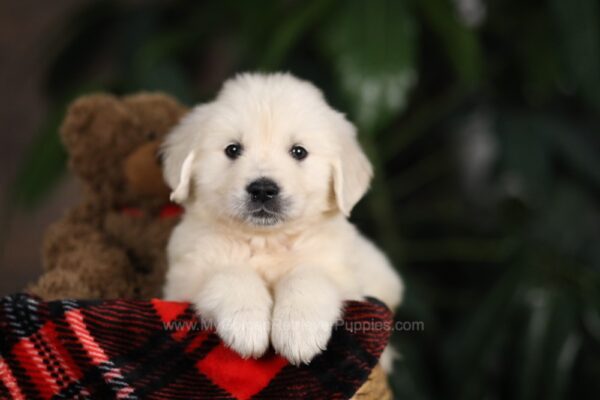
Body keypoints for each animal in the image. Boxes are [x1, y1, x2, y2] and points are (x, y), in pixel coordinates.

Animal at [162, 71, 404, 366]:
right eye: (233, 149)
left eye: (298, 152)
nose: (263, 189)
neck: (267, 240)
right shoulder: (184, 279)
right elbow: (229, 272)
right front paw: (246, 324)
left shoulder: (342, 275)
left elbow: (308, 275)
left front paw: (298, 331)